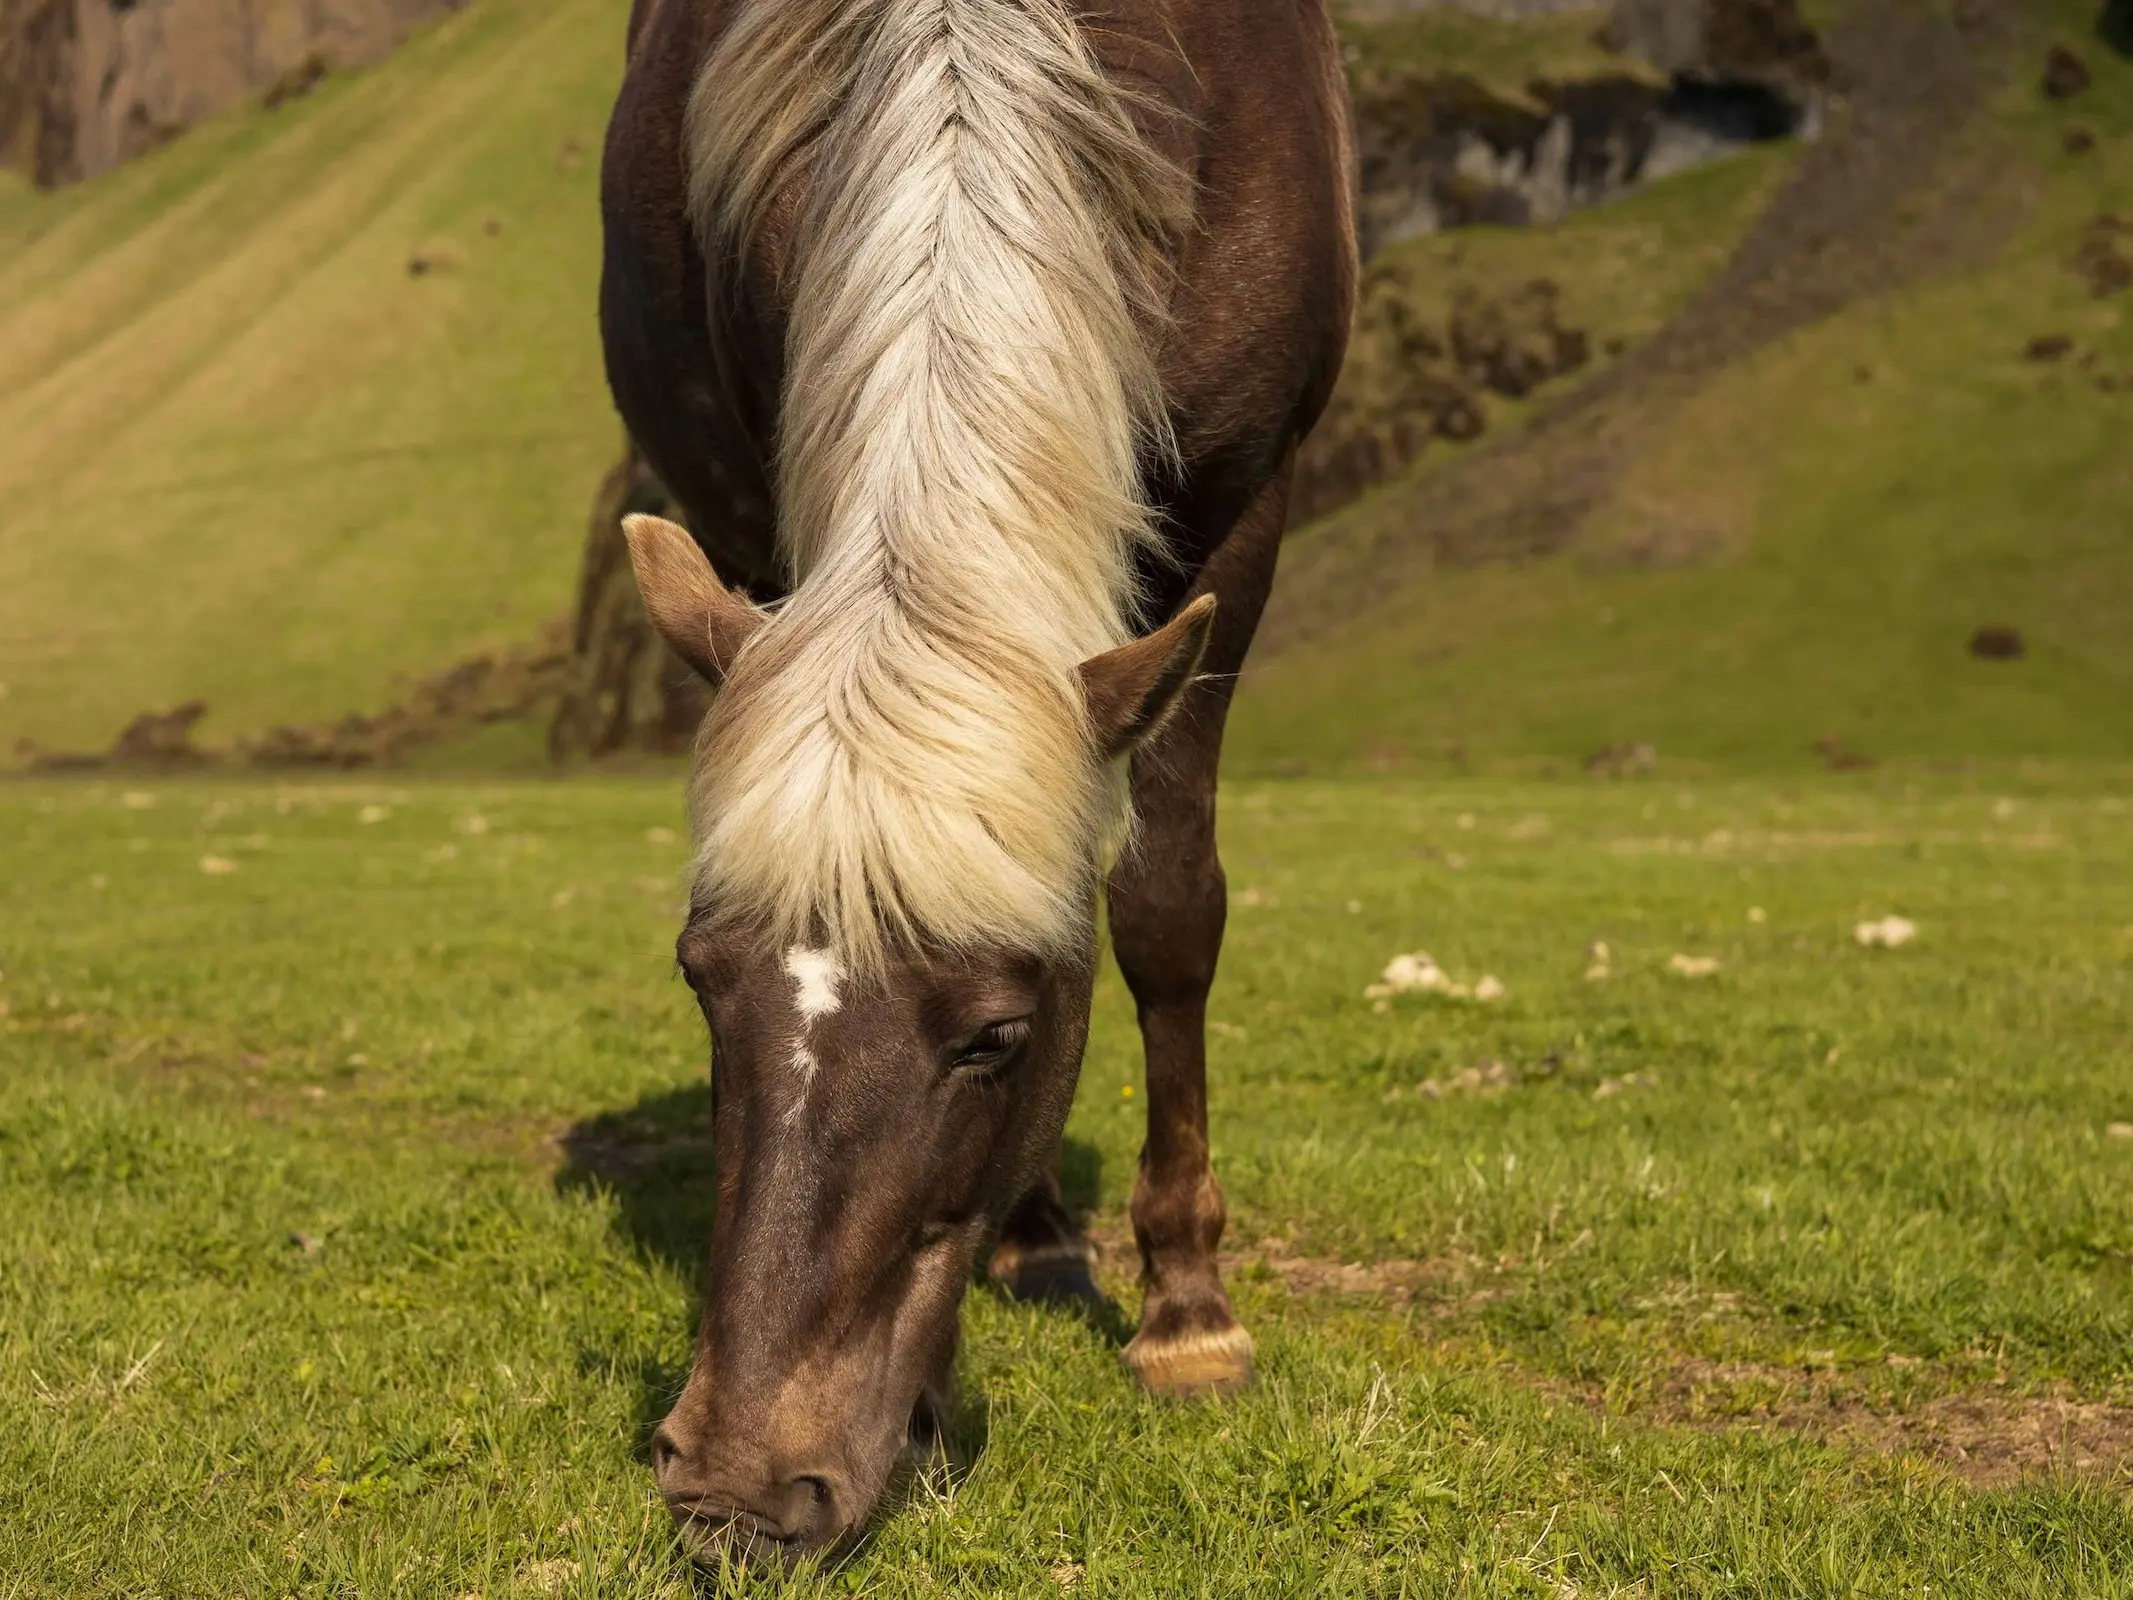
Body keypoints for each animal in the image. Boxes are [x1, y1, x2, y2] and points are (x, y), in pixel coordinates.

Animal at [601, 0, 1356, 1570]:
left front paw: (1189, 1315)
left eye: (1000, 1034)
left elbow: (1166, 908)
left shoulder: (1246, 515)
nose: (741, 1490)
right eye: (701, 981)